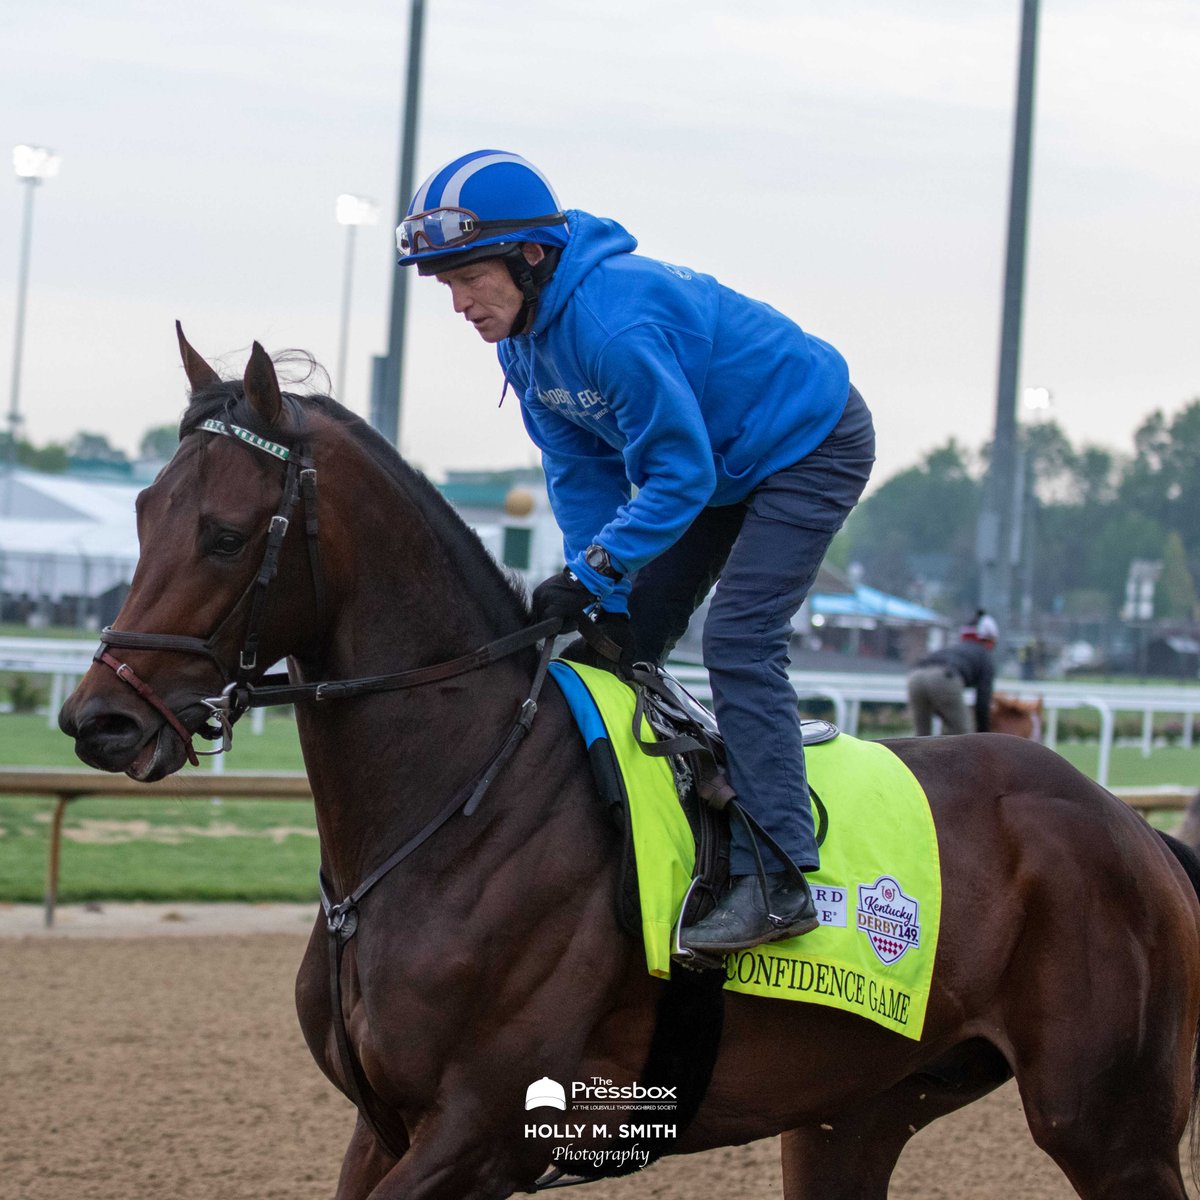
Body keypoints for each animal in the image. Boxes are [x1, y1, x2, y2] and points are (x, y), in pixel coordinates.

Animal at [60, 328, 1200, 1200]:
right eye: (141, 512)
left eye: (224, 533)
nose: (97, 719)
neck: (456, 806)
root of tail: (1135, 829)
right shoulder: (383, 1125)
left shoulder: (482, 1133)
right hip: (856, 1114)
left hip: (1109, 1122)